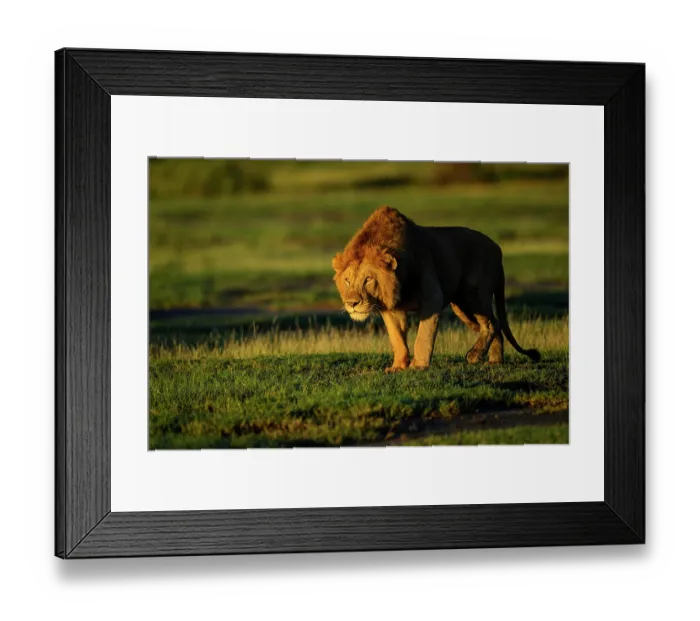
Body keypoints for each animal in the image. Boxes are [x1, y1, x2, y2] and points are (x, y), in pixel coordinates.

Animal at [332, 205, 541, 372]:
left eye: (368, 279)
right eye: (348, 281)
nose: (352, 303)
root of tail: (497, 248)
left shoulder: (432, 298)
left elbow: (423, 336)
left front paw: (418, 366)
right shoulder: (391, 308)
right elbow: (397, 338)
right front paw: (398, 366)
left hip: (473, 295)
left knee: (491, 323)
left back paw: (474, 356)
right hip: (462, 308)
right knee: (494, 323)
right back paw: (494, 361)